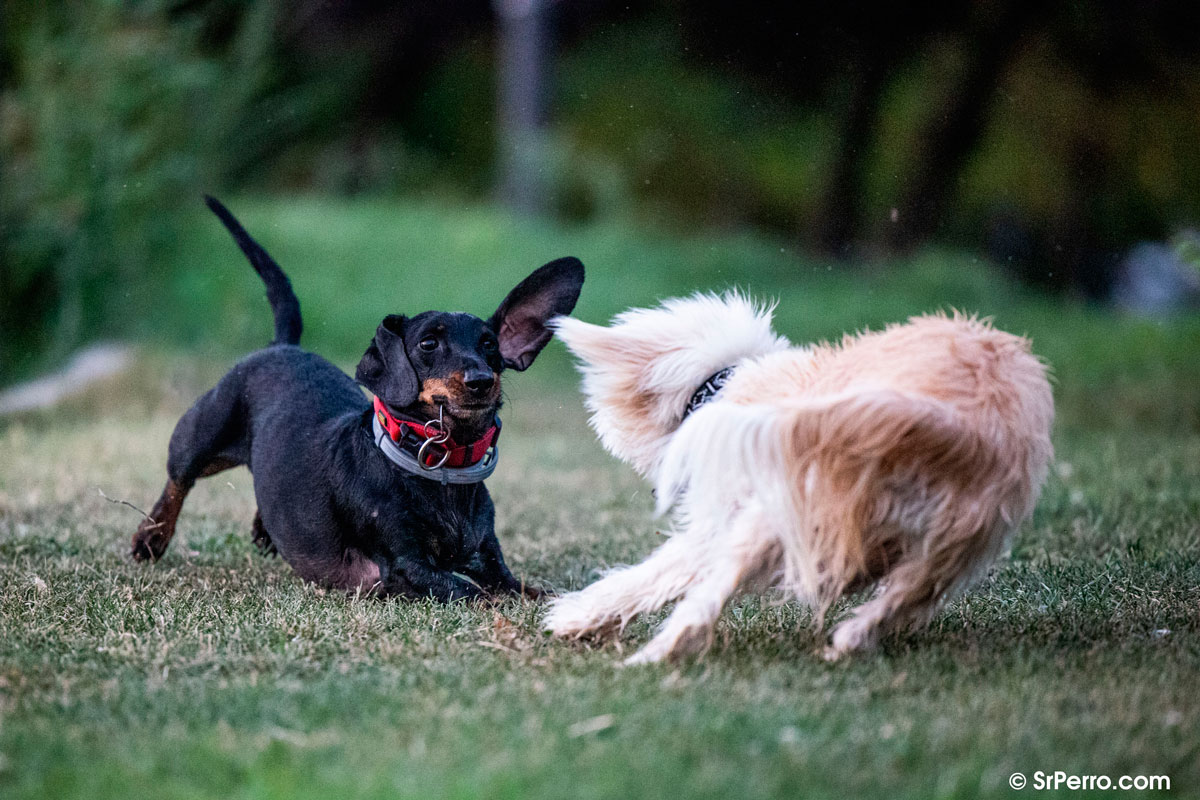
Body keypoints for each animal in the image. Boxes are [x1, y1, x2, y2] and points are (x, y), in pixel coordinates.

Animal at [544, 293, 1051, 662]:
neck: (724, 385)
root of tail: (964, 422)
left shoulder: (724, 520)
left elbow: (653, 575)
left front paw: (576, 617)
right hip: (953, 543)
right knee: (904, 598)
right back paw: (850, 639)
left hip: (778, 507)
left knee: (704, 600)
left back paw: (654, 654)